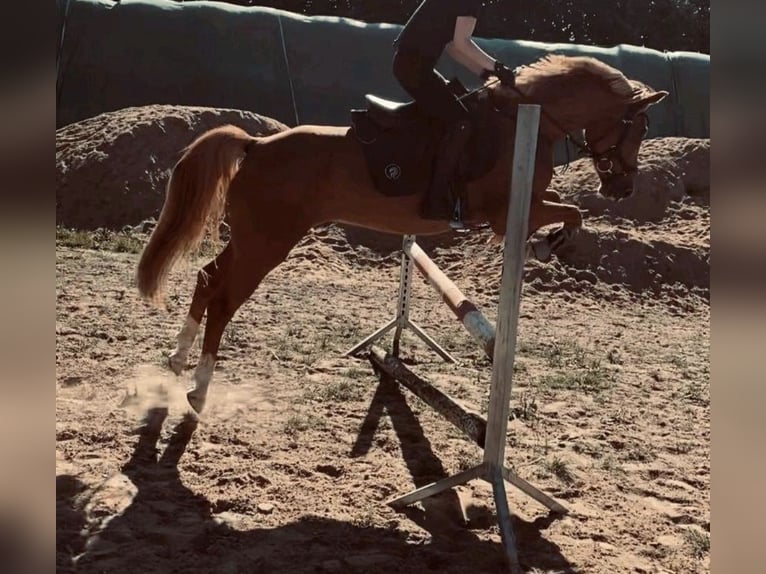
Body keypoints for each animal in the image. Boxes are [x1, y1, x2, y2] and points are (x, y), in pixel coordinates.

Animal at [136, 54, 667, 413]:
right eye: (639, 128)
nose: (622, 188)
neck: (528, 121)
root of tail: (257, 144)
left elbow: (572, 210)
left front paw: (546, 244)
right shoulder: (508, 213)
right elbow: (573, 212)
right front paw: (543, 245)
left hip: (251, 238)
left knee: (207, 278)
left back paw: (178, 359)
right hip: (268, 243)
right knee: (225, 297)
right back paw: (200, 387)